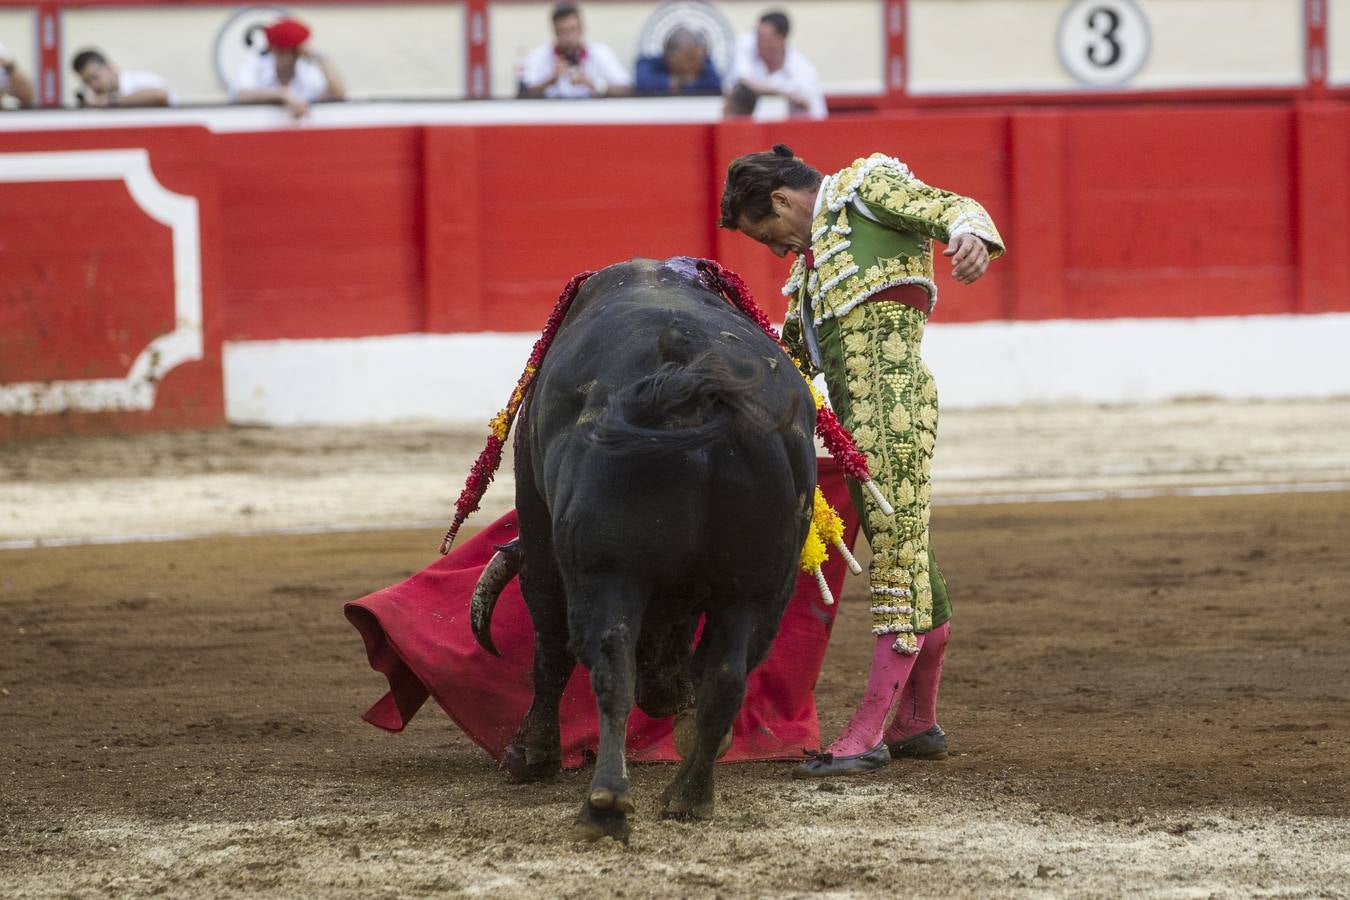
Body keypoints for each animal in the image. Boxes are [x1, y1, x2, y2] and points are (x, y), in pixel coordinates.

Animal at [469, 256, 815, 841]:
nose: (667, 693)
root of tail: (694, 382)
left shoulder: (540, 531)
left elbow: (550, 645)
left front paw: (530, 755)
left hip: (607, 570)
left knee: (609, 664)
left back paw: (605, 804)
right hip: (760, 587)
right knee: (728, 677)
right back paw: (689, 795)